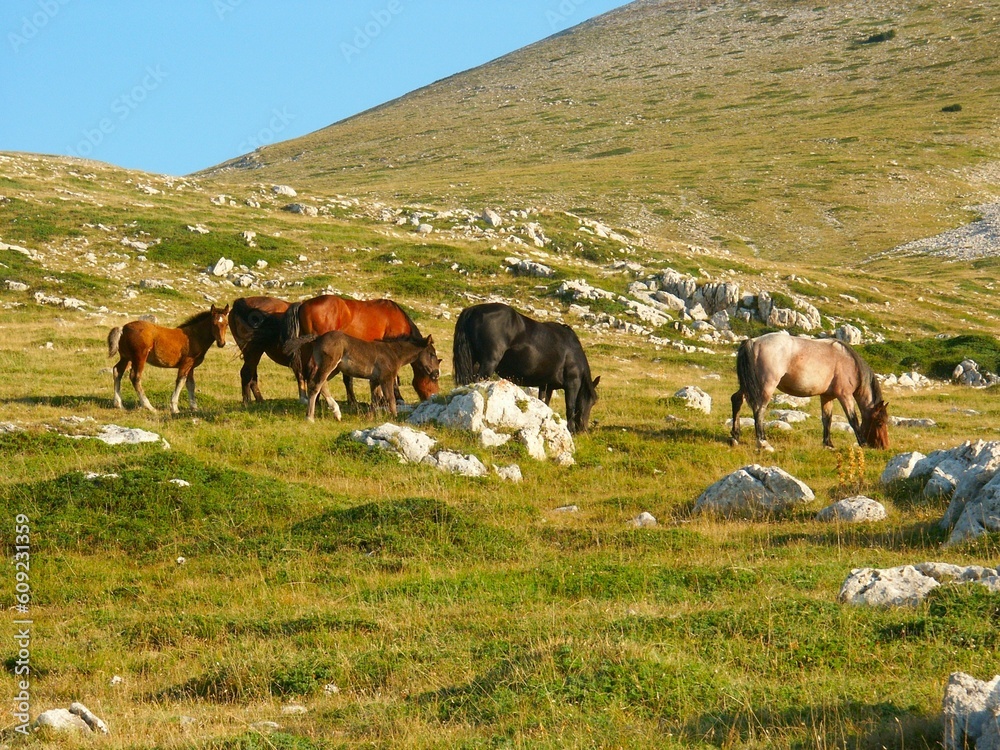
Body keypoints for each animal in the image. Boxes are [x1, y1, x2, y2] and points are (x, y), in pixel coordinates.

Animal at [284, 334, 436, 424]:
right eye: (432, 354)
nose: (436, 373)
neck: (393, 353)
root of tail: (316, 339)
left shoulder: (374, 380)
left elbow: (375, 399)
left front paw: (368, 417)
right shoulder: (386, 378)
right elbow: (390, 398)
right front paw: (394, 417)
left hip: (334, 369)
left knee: (322, 384)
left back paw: (337, 413)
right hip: (329, 365)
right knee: (315, 385)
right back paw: (310, 417)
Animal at [454, 302, 600, 434]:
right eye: (592, 401)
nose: (583, 430)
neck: (573, 352)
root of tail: (473, 309)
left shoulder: (546, 385)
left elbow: (544, 402)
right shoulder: (572, 384)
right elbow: (570, 408)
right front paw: (570, 430)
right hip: (488, 363)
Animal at [728, 334, 892, 452]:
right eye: (879, 422)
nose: (884, 447)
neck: (851, 364)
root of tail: (753, 341)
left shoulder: (827, 397)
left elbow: (827, 419)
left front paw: (828, 444)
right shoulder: (844, 395)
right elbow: (853, 420)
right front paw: (862, 443)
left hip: (749, 385)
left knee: (737, 399)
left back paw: (735, 436)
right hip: (766, 386)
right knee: (759, 410)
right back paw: (763, 442)